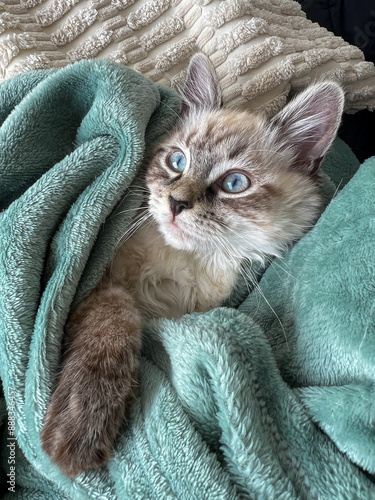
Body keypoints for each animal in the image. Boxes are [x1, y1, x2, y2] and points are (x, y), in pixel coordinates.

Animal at [40, 53, 344, 476]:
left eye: (234, 184)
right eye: (177, 161)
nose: (176, 203)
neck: (184, 265)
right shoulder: (101, 281)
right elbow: (113, 324)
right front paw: (82, 425)